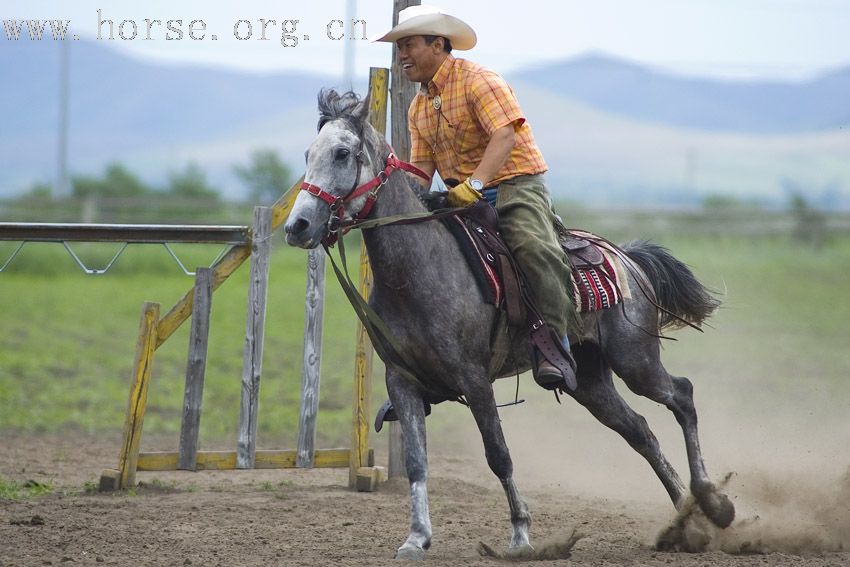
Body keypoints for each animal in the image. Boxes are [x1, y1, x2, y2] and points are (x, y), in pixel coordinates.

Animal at [282, 91, 732, 560]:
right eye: (308, 154)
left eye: (342, 153)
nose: (297, 226)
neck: (417, 268)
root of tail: (625, 257)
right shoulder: (401, 380)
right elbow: (417, 461)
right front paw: (416, 537)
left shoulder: (474, 378)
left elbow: (498, 455)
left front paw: (520, 536)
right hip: (590, 381)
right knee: (641, 431)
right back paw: (684, 520)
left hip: (635, 360)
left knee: (682, 395)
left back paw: (713, 504)